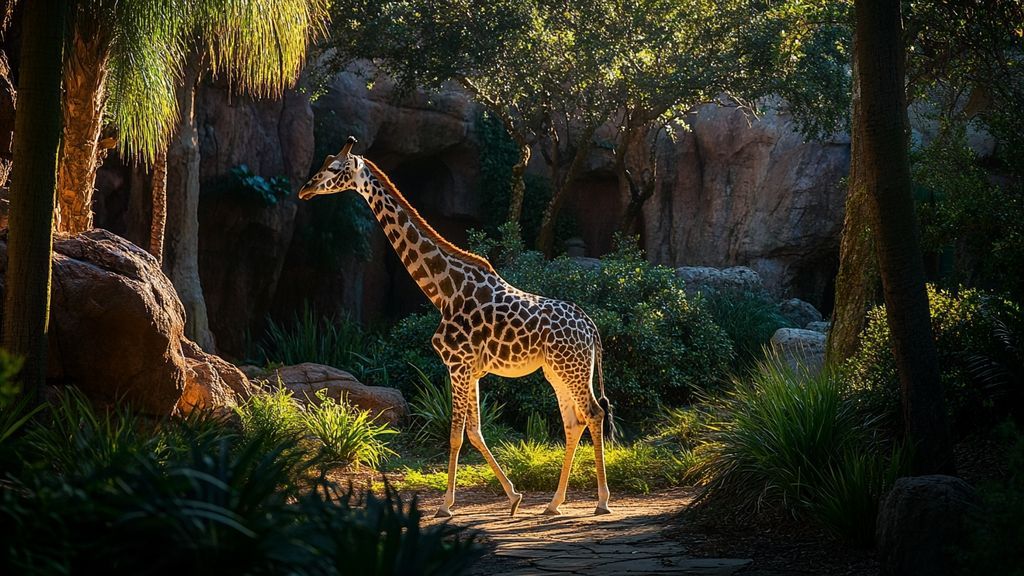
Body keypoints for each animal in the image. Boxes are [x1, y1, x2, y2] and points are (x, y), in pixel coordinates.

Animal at [299, 136, 614, 517]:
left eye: (334, 168)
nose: (305, 189)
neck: (444, 291)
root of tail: (591, 327)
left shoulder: (457, 365)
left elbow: (456, 435)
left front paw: (445, 506)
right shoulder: (472, 370)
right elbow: (476, 432)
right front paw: (513, 497)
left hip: (572, 369)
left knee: (594, 413)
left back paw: (602, 501)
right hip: (558, 371)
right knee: (574, 421)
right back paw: (553, 504)